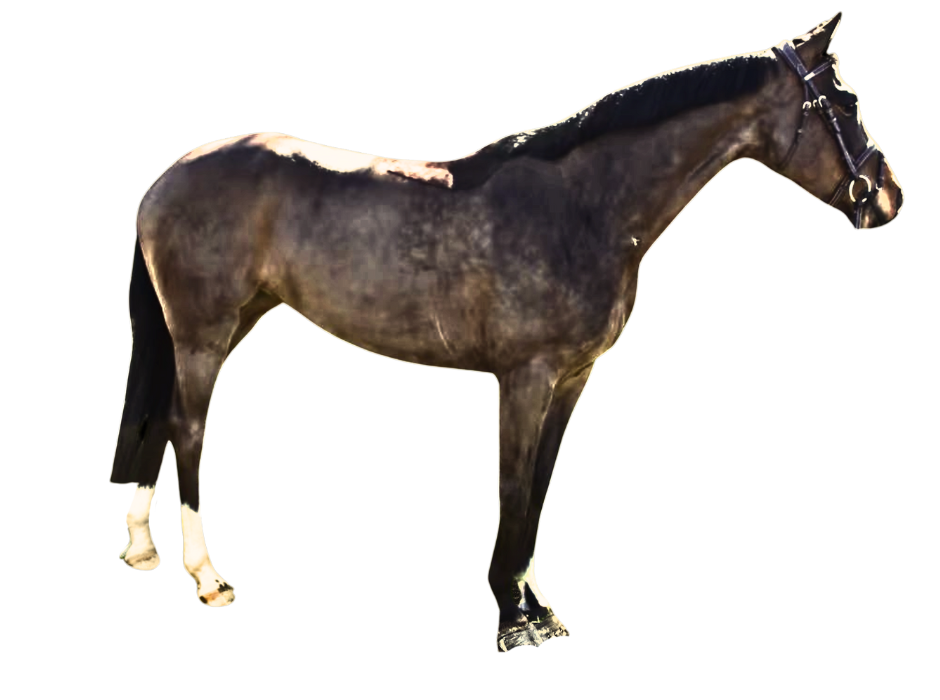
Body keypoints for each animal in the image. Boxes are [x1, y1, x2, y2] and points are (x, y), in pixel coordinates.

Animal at [111, 11, 903, 653]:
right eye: (844, 102)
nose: (887, 198)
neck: (585, 206)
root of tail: (162, 183)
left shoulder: (573, 377)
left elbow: (541, 484)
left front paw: (537, 608)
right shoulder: (526, 375)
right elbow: (516, 484)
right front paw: (512, 618)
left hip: (227, 322)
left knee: (158, 422)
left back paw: (142, 547)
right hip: (204, 334)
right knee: (187, 427)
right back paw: (207, 577)